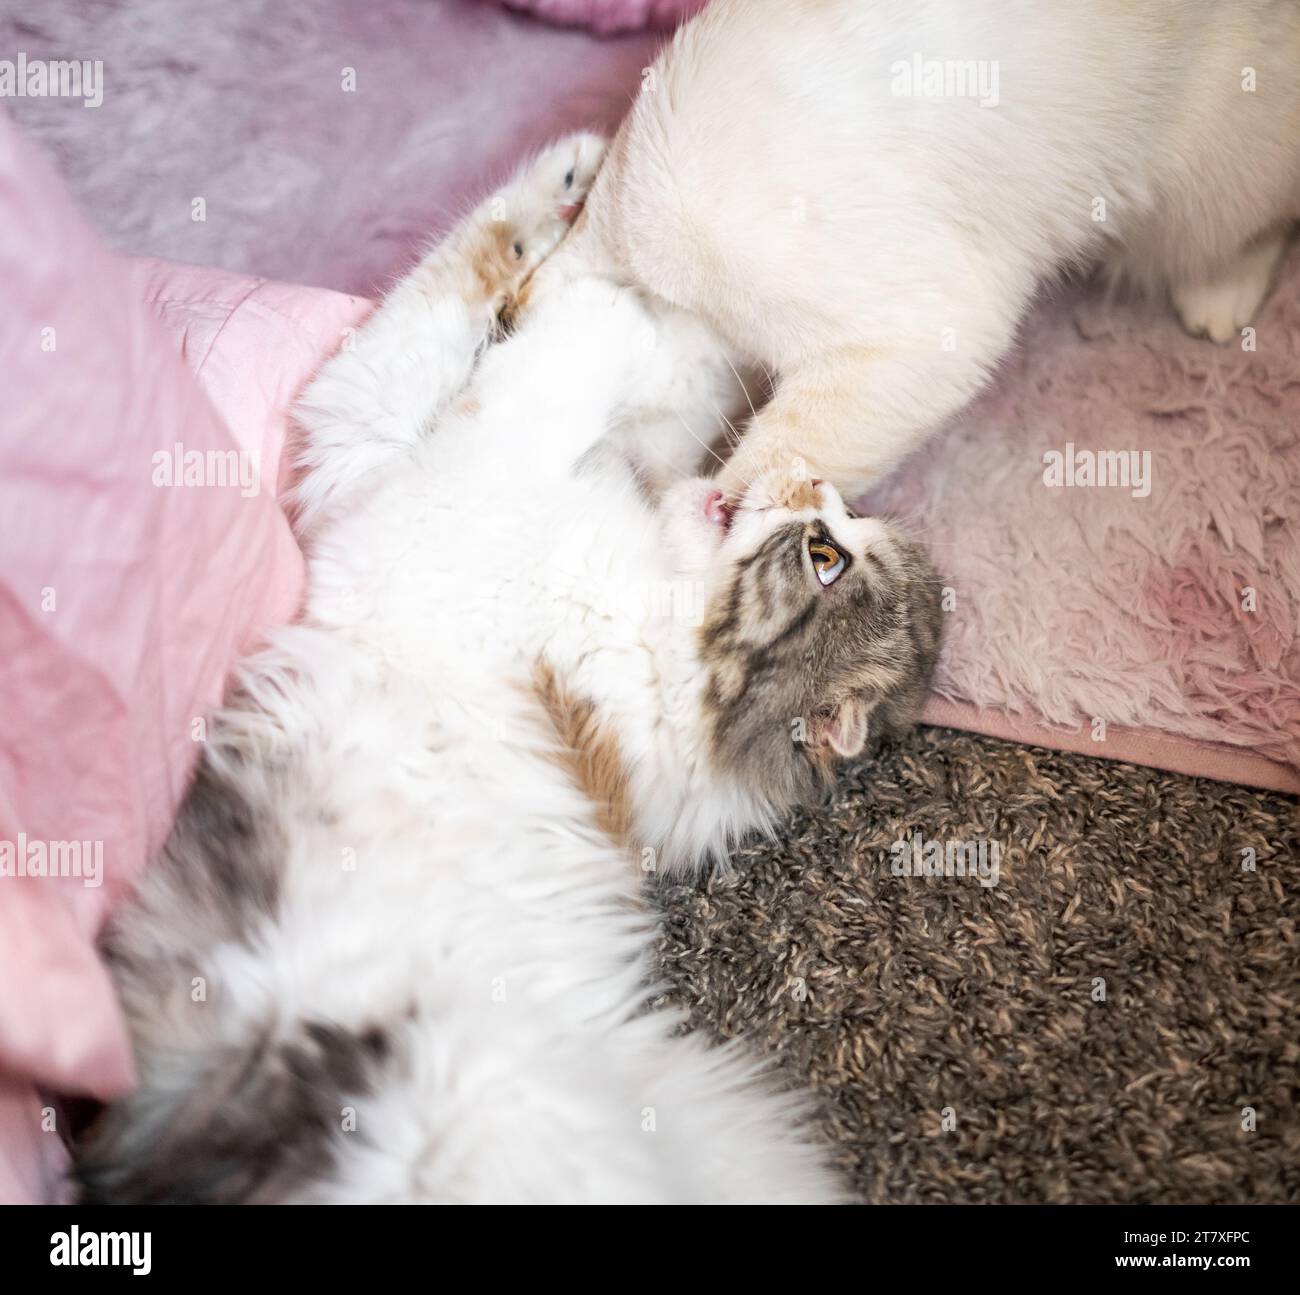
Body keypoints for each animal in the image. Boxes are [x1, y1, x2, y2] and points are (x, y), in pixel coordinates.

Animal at [76, 139, 941, 1201]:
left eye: (828, 557)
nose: (815, 478)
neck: (661, 635)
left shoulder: (449, 498)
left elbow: (531, 374)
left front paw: (619, 306)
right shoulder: (367, 442)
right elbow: (448, 293)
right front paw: (581, 190)